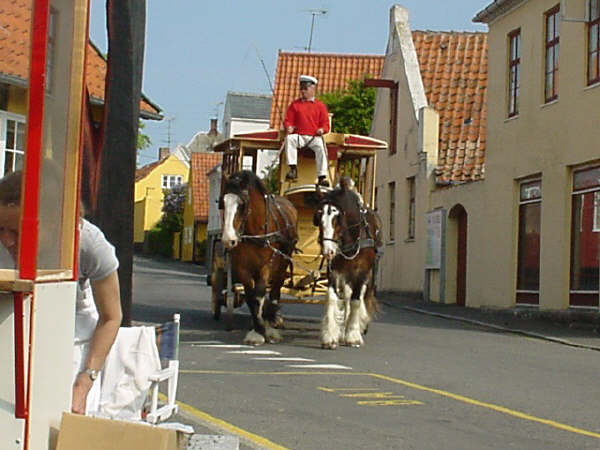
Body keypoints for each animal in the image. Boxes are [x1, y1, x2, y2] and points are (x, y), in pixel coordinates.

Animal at [220, 171, 298, 346]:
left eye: (242, 204)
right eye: (222, 203)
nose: (229, 240)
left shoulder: (266, 266)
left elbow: (260, 294)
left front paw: (263, 329)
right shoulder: (242, 268)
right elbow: (251, 297)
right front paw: (257, 329)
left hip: (282, 264)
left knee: (275, 291)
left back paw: (273, 323)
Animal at [312, 176, 382, 348]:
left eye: (337, 218)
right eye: (318, 217)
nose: (328, 251)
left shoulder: (362, 270)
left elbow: (356, 300)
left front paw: (353, 335)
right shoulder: (334, 269)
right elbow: (332, 297)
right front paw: (330, 336)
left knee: (357, 296)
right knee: (347, 296)